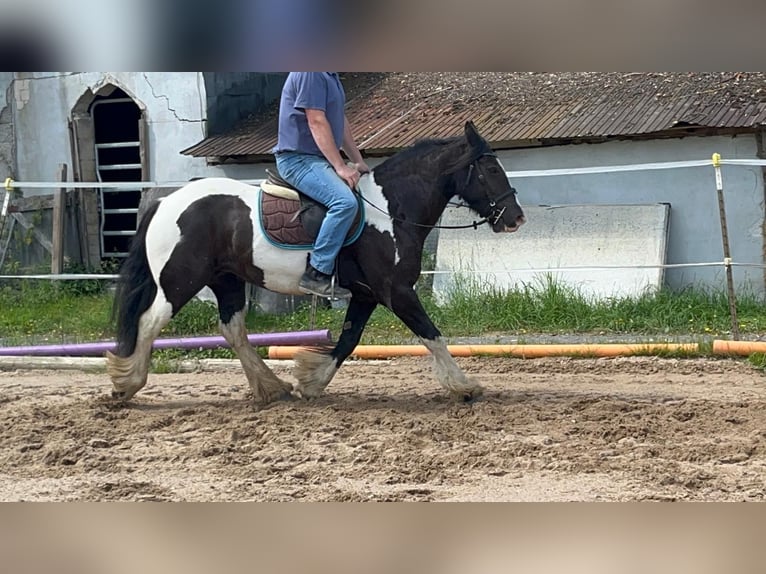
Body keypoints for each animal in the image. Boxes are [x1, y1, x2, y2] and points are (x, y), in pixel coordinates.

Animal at [108, 121, 524, 404]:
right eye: (491, 170)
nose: (516, 218)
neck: (390, 211)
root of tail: (167, 202)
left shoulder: (366, 295)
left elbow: (348, 341)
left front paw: (311, 382)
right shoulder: (396, 291)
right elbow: (431, 334)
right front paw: (464, 386)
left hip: (226, 280)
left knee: (233, 330)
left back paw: (272, 388)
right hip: (180, 281)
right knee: (148, 322)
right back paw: (127, 384)